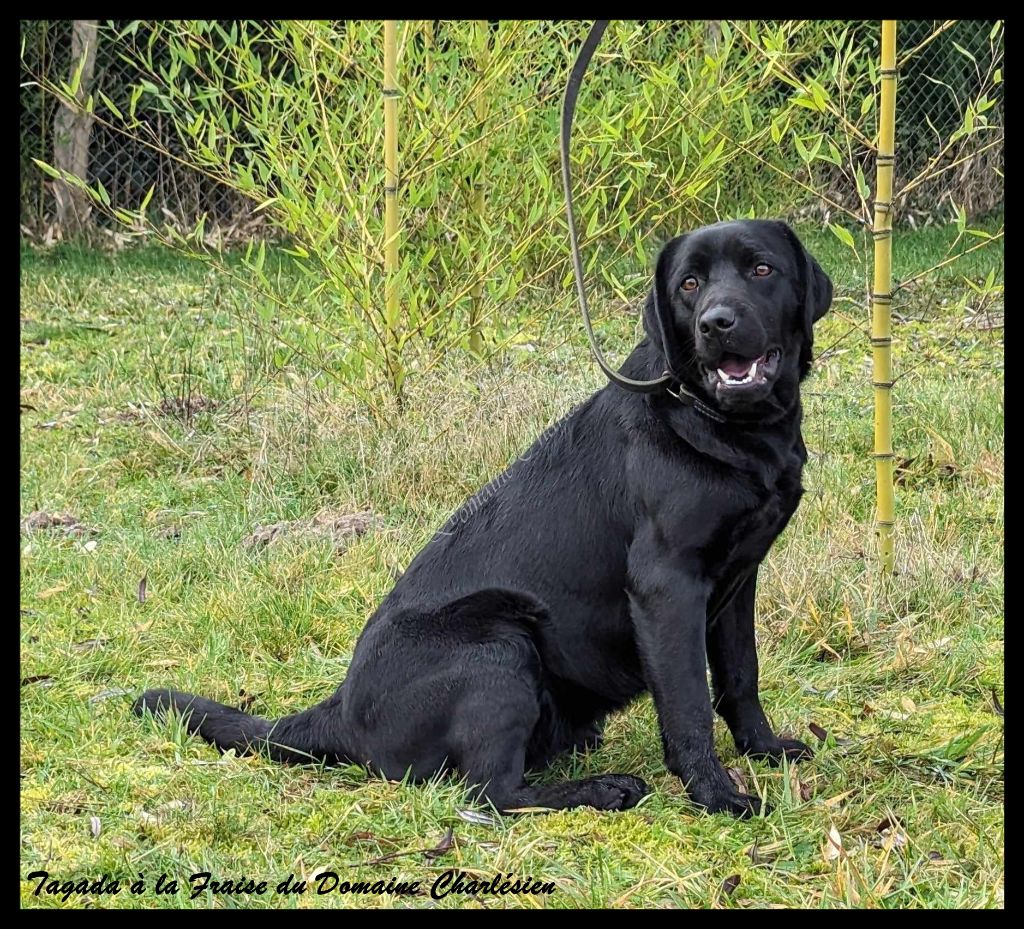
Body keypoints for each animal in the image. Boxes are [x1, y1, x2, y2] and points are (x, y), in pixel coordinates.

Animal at [136, 221, 835, 819]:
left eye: (762, 269)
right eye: (688, 285)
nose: (717, 323)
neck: (722, 426)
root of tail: (341, 712)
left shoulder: (737, 581)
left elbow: (740, 676)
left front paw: (766, 751)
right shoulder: (667, 588)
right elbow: (688, 705)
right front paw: (717, 796)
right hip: (500, 644)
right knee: (491, 792)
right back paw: (603, 789)